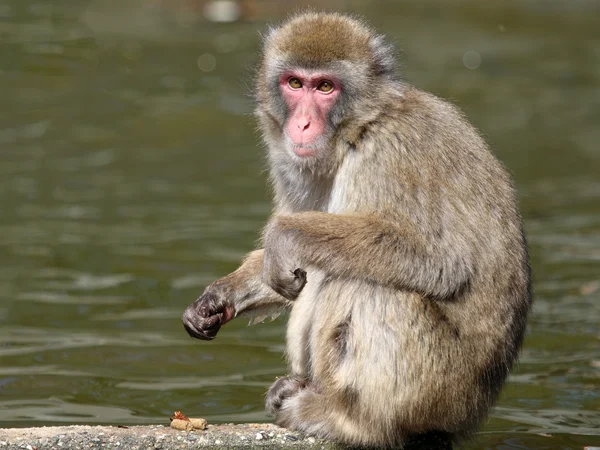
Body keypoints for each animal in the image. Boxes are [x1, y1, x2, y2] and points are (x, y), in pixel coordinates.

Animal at [180, 11, 532, 450]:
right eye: (294, 83)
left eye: (325, 87)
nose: (303, 123)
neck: (358, 128)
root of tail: (474, 410)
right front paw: (219, 297)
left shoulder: (391, 152)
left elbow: (440, 262)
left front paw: (283, 236)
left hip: (439, 391)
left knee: (364, 283)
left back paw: (347, 419)